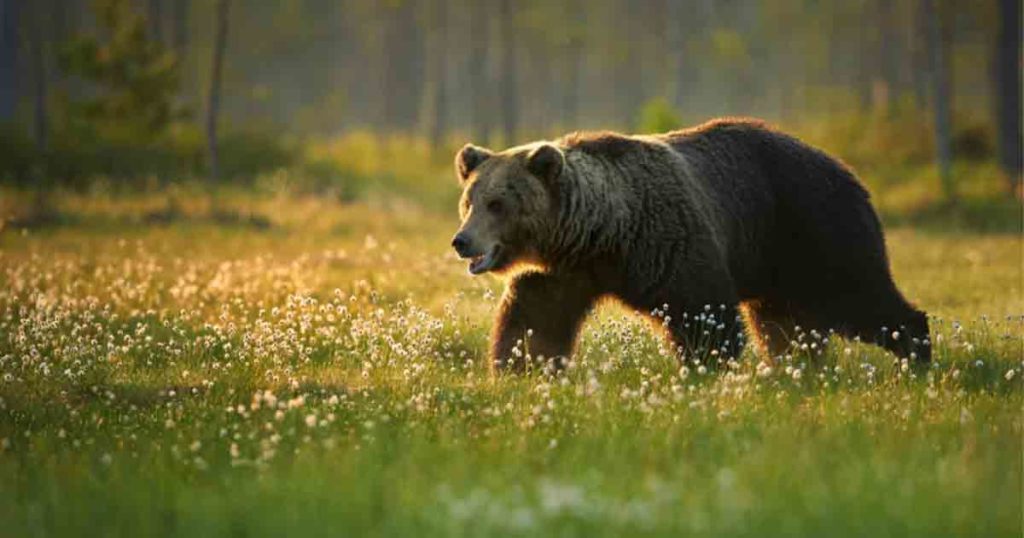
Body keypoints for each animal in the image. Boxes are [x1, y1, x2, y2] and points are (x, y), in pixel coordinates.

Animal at [450, 118, 930, 371]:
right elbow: (535, 319)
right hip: (776, 262)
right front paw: (520, 366)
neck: (601, 233)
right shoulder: (565, 272)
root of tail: (849, 171)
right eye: (469, 201)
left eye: (497, 203)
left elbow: (702, 314)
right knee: (783, 324)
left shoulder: (667, 243)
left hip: (813, 226)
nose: (462, 241)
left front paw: (704, 369)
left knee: (859, 294)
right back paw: (795, 368)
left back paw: (915, 355)